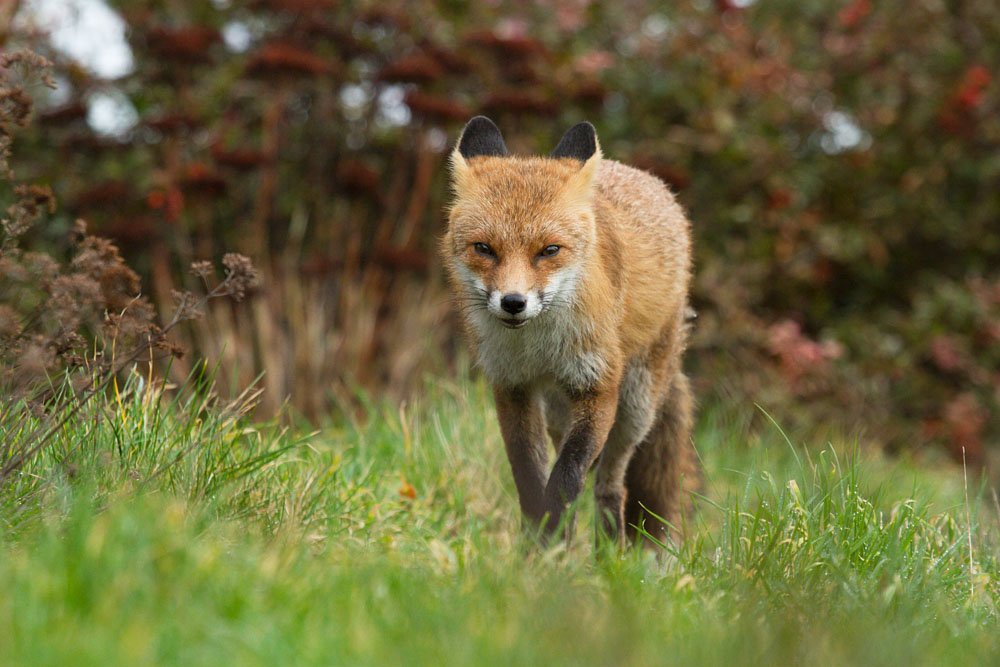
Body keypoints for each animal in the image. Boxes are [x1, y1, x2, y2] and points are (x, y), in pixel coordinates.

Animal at [443, 116, 699, 548]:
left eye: (549, 250)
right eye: (484, 249)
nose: (513, 302)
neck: (538, 347)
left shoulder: (598, 387)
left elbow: (565, 479)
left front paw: (548, 543)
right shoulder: (512, 388)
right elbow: (532, 480)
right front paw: (538, 549)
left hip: (636, 408)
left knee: (609, 487)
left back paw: (611, 554)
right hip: (559, 413)